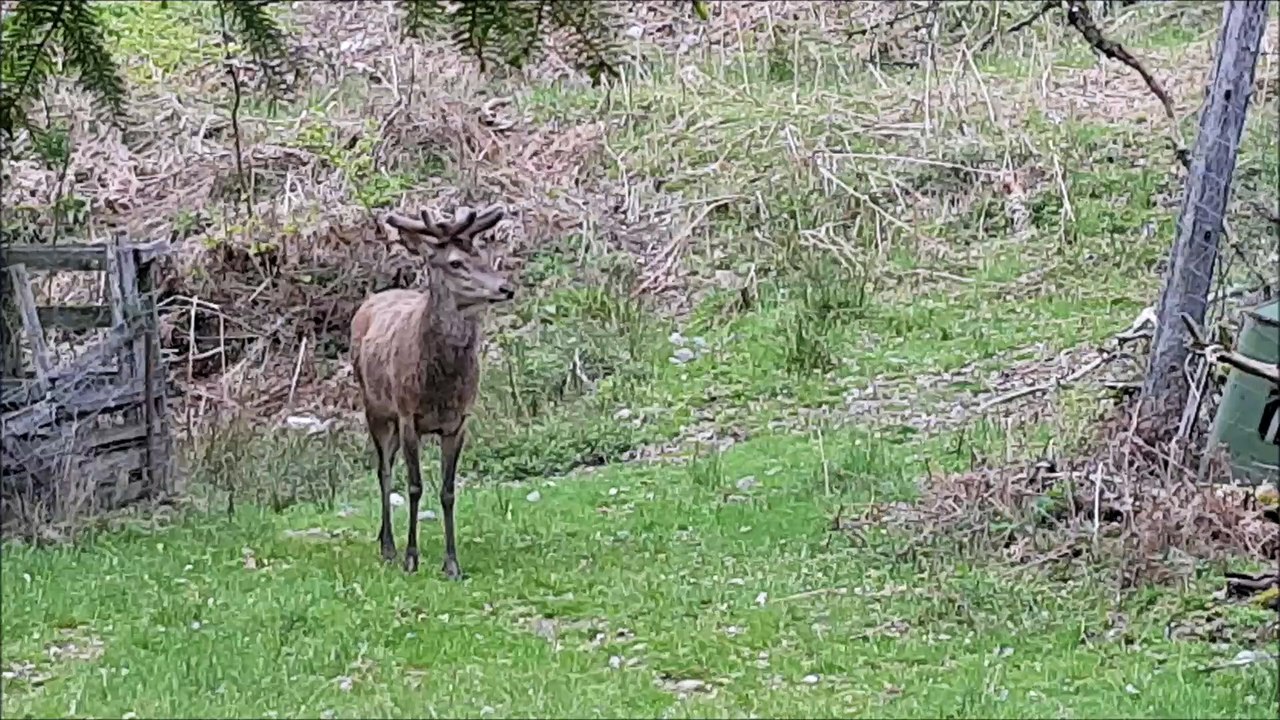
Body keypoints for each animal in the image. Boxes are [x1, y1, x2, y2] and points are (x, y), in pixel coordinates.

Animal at [350, 204, 515, 580]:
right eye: (455, 262)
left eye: (483, 255)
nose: (505, 288)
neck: (439, 386)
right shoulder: (409, 414)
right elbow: (414, 486)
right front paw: (411, 558)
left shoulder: (459, 421)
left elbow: (448, 490)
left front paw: (452, 564)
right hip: (376, 407)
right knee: (383, 471)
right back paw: (387, 546)